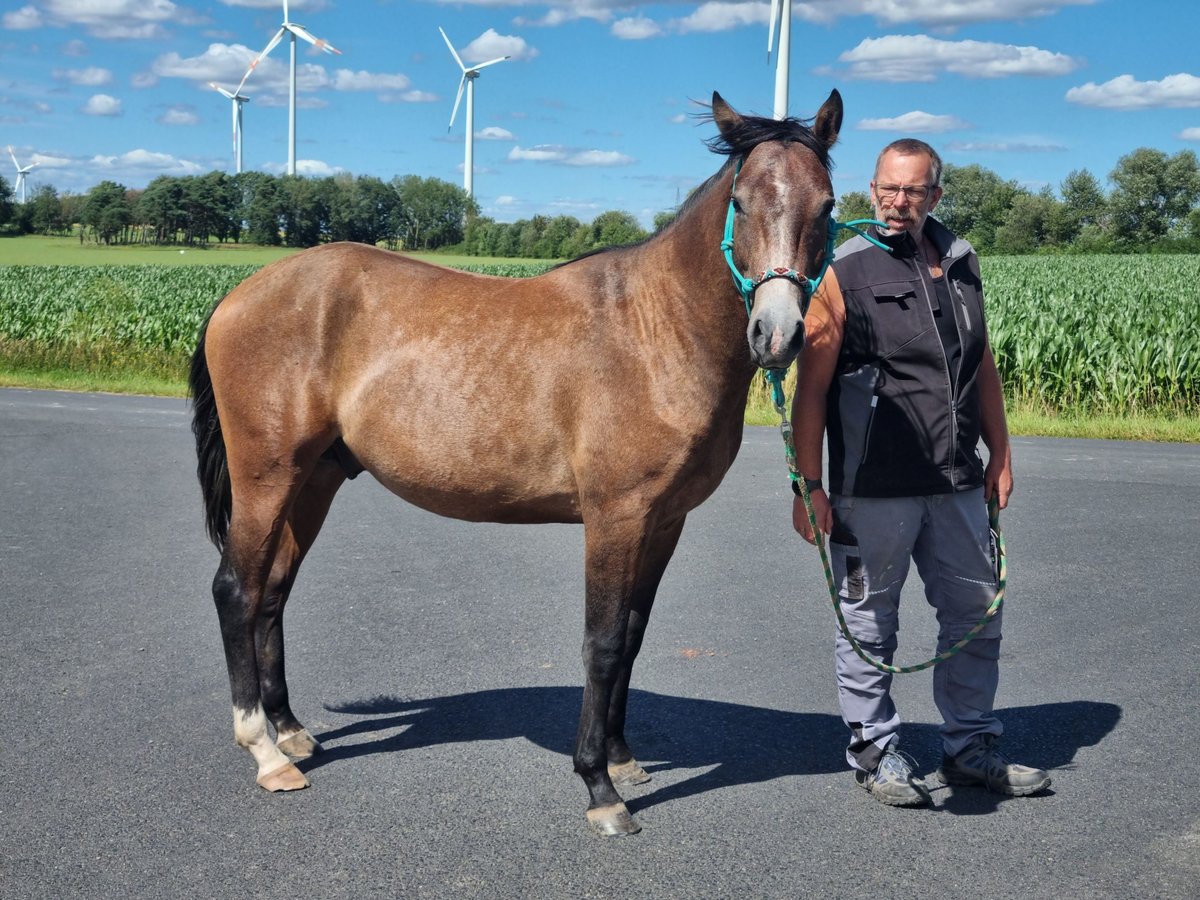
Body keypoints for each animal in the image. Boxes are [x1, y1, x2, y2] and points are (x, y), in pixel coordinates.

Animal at [189, 88, 844, 835]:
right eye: (741, 200)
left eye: (827, 206)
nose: (777, 334)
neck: (656, 330)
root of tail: (241, 294)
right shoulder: (616, 519)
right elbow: (603, 642)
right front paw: (599, 786)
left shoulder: (664, 522)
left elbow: (634, 635)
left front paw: (622, 757)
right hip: (266, 476)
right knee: (236, 590)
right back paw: (265, 752)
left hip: (314, 479)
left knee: (273, 591)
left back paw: (292, 732)